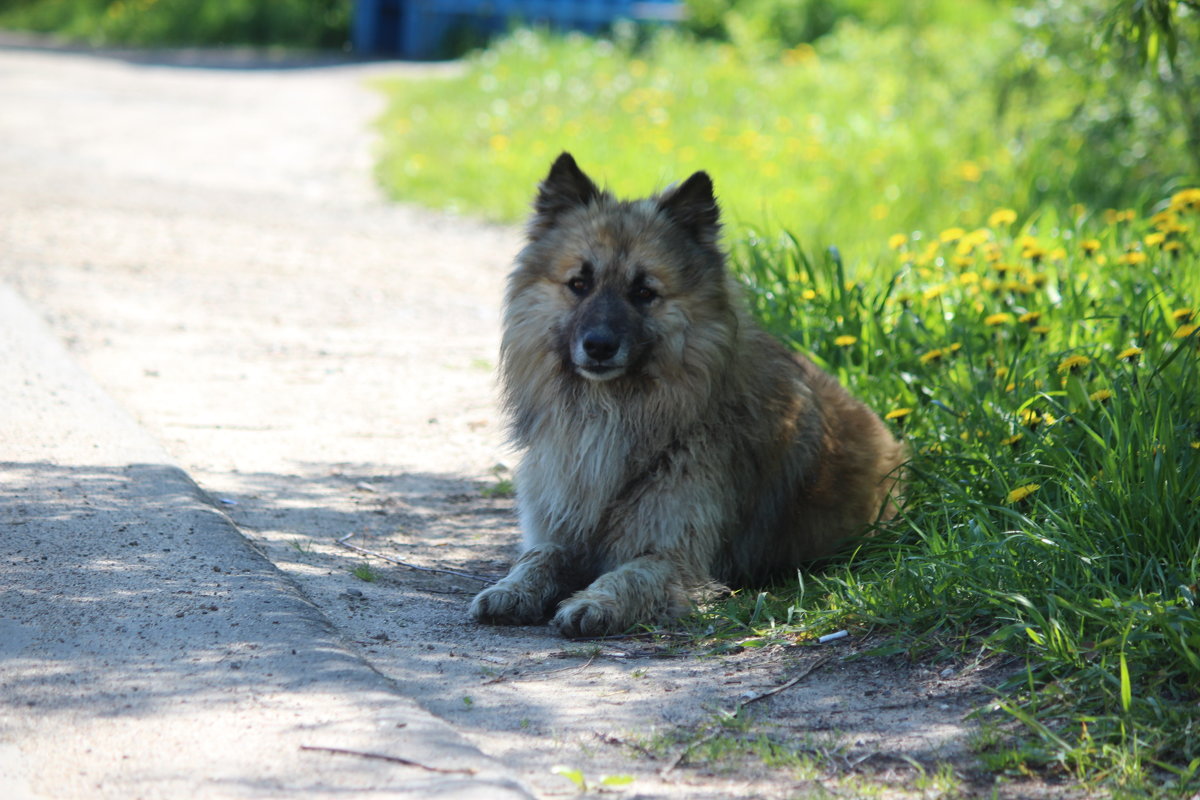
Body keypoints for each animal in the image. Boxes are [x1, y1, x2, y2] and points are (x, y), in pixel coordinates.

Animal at [468, 151, 902, 638]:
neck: (614, 411)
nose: (598, 346)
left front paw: (594, 602)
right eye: (579, 283)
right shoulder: (560, 528)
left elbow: (631, 573)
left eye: (643, 292)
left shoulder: (678, 557)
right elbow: (539, 557)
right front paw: (511, 589)